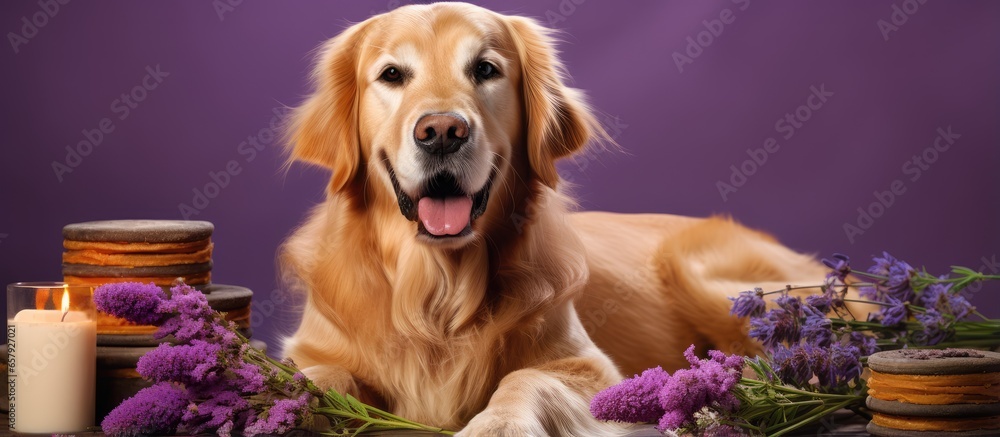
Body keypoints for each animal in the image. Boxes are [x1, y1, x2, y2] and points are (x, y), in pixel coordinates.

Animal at [282, 2, 828, 432]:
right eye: (392, 75)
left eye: (485, 69)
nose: (441, 131)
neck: (438, 293)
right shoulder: (316, 349)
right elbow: (314, 376)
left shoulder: (592, 368)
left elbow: (526, 377)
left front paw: (496, 426)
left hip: (704, 276)